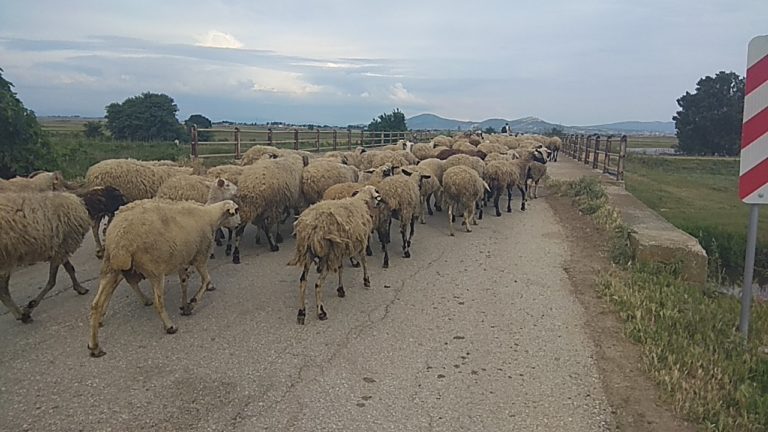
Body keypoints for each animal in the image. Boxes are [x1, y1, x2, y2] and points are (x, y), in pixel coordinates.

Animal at [0, 192, 91, 320]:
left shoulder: (61, 248)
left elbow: (70, 269)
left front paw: (80, 288)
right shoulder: (62, 247)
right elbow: (52, 281)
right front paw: (31, 305)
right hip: (7, 258)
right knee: (3, 290)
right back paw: (22, 315)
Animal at [86, 199, 240, 358]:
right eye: (237, 211)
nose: (239, 225)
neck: (210, 216)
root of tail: (120, 240)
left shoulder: (182, 261)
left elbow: (184, 284)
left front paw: (184, 306)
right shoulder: (200, 257)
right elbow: (206, 280)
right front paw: (192, 303)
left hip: (111, 267)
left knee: (96, 304)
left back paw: (95, 346)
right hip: (154, 269)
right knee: (158, 303)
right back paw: (169, 326)